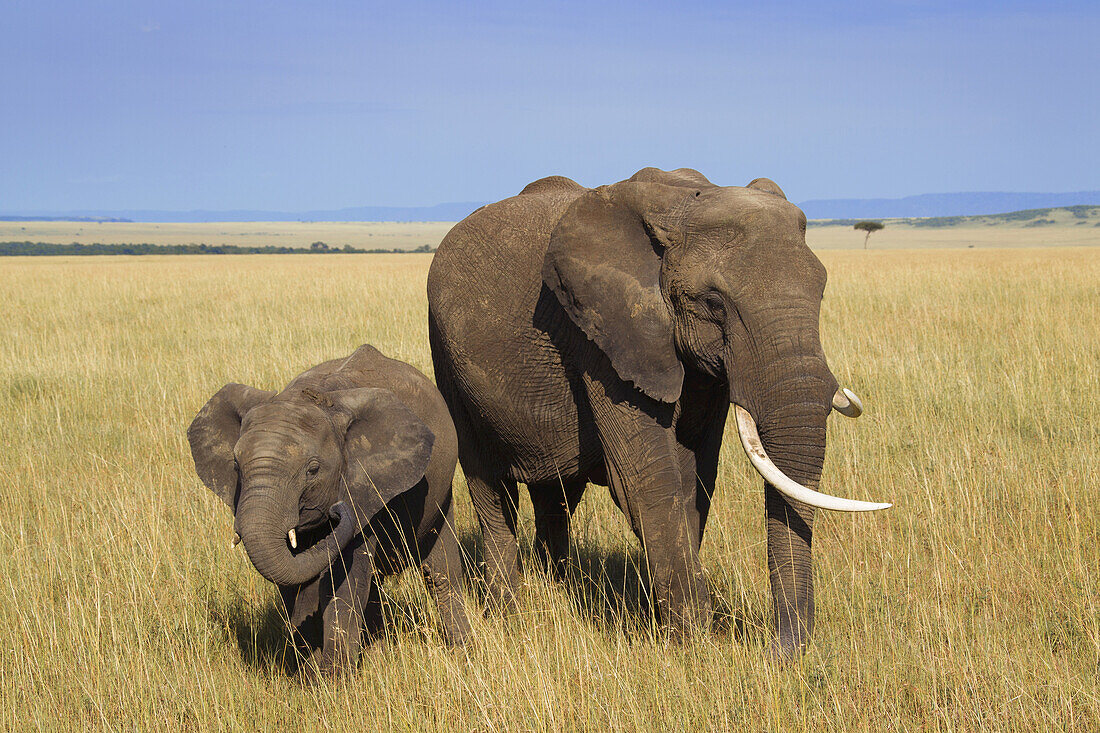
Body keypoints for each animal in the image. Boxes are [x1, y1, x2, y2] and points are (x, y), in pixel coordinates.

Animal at [188, 343, 468, 673]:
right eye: (235, 465)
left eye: (312, 470)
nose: (336, 512)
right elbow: (296, 584)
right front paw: (312, 675)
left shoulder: (365, 485)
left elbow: (343, 580)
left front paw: (333, 680)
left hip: (441, 490)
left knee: (440, 573)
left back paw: (463, 652)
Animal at [424, 167, 888, 655]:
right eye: (714, 303)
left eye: (822, 291)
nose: (782, 652)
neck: (682, 204)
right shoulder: (603, 338)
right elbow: (647, 479)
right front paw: (694, 643)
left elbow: (695, 477)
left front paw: (669, 624)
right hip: (447, 357)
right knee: (490, 487)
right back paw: (509, 613)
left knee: (557, 496)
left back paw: (554, 590)